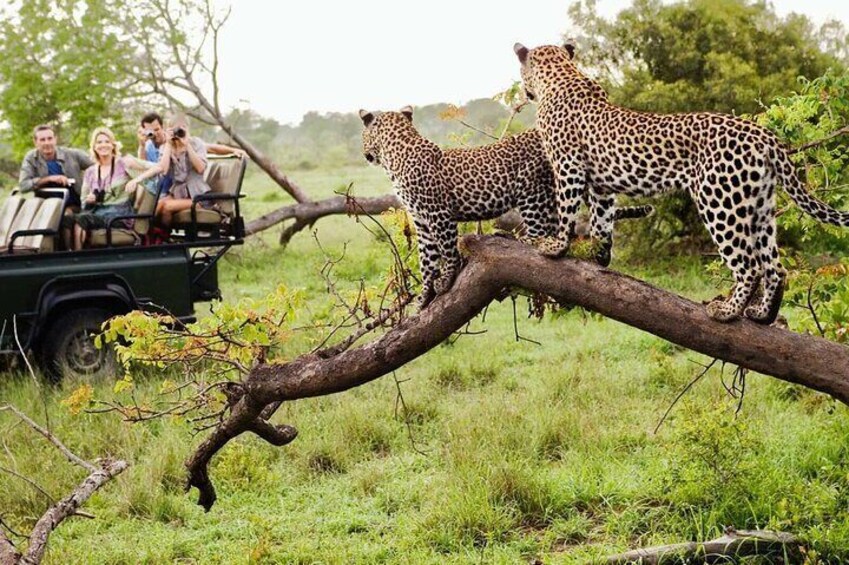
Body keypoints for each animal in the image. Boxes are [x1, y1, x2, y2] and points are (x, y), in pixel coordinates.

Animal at [362, 106, 652, 308]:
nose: (365, 154)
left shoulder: (439, 215)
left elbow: (447, 251)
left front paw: (446, 280)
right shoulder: (421, 222)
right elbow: (427, 260)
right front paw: (424, 297)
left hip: (532, 190)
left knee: (542, 234)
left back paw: (515, 238)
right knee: (559, 229)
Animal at [512, 41, 848, 324]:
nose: (525, 93)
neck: (560, 75)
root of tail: (764, 135)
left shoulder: (568, 165)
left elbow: (567, 209)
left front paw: (556, 246)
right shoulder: (602, 185)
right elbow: (601, 221)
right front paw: (600, 255)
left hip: (720, 201)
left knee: (749, 266)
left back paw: (727, 311)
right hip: (759, 206)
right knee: (775, 267)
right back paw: (762, 315)